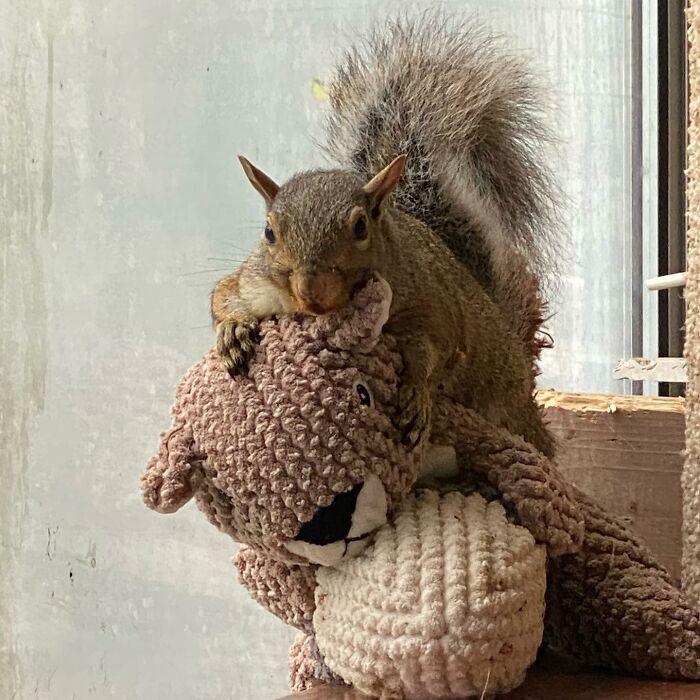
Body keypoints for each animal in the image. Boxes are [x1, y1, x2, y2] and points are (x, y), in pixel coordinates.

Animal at [211, 16, 559, 455]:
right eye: (269, 231)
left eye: (360, 227)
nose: (311, 290)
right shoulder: (258, 283)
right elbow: (223, 295)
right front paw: (233, 332)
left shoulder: (430, 302)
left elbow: (435, 346)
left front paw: (417, 396)